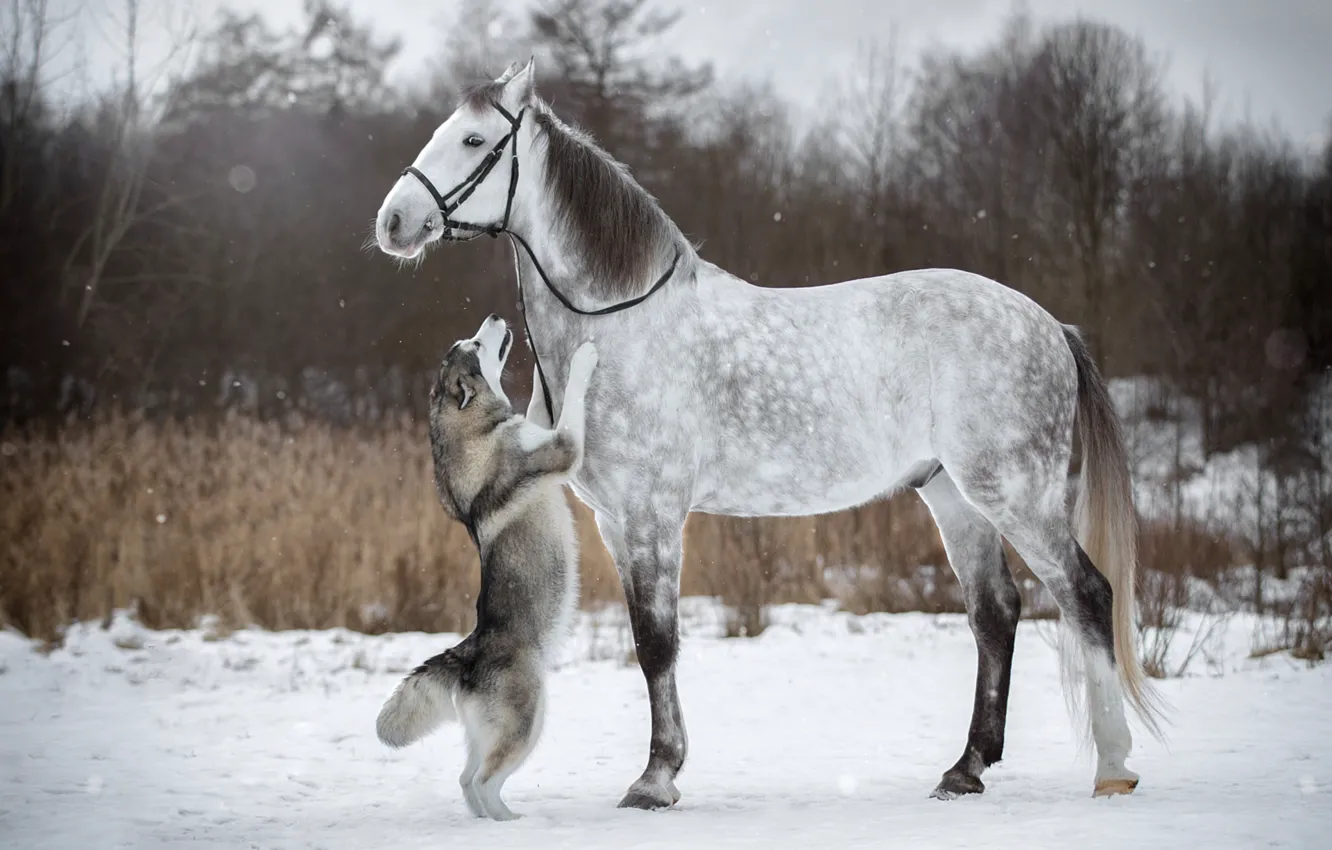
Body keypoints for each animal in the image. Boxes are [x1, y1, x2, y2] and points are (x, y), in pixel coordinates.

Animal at [372, 317, 596, 820]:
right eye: (474, 343)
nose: (496, 320)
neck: (476, 429)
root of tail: (468, 654)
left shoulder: (541, 431)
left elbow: (537, 406)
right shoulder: (563, 448)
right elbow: (571, 402)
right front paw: (583, 356)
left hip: (486, 733)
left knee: (465, 779)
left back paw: (486, 820)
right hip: (527, 721)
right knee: (483, 780)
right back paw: (509, 821)